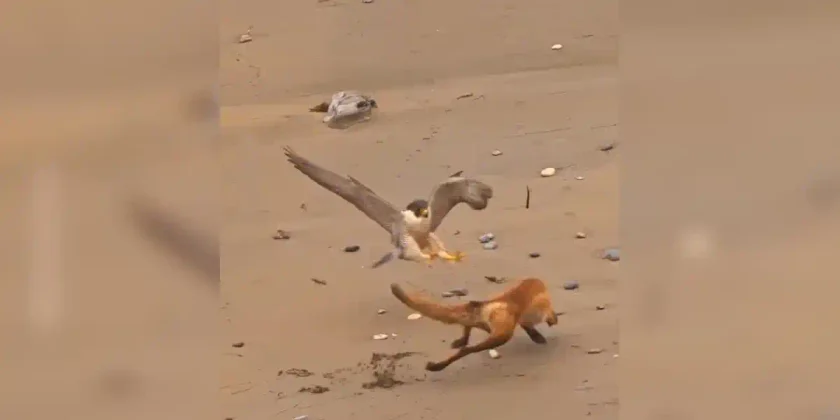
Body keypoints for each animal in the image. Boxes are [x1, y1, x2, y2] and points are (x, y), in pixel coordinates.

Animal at [390, 277, 559, 372]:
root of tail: (490, 302)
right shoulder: (540, 312)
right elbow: (537, 322)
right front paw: (540, 333)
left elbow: (529, 327)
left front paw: (536, 336)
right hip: (502, 335)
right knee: (468, 349)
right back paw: (438, 366)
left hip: (482, 323)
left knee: (467, 328)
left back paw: (458, 343)